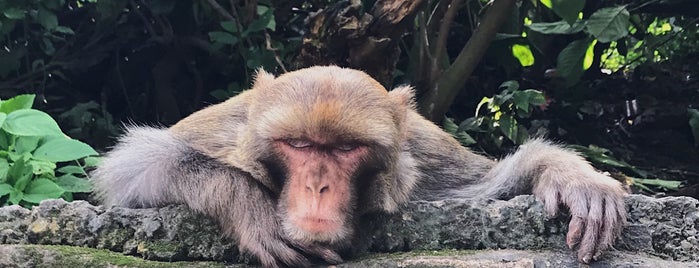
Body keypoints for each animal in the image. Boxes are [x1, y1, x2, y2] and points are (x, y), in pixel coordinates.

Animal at [90, 66, 628, 266]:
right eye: (299, 144)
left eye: (346, 149)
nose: (318, 188)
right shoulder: (222, 132)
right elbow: (135, 167)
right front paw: (251, 209)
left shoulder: (425, 159)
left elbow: (484, 184)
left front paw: (572, 177)